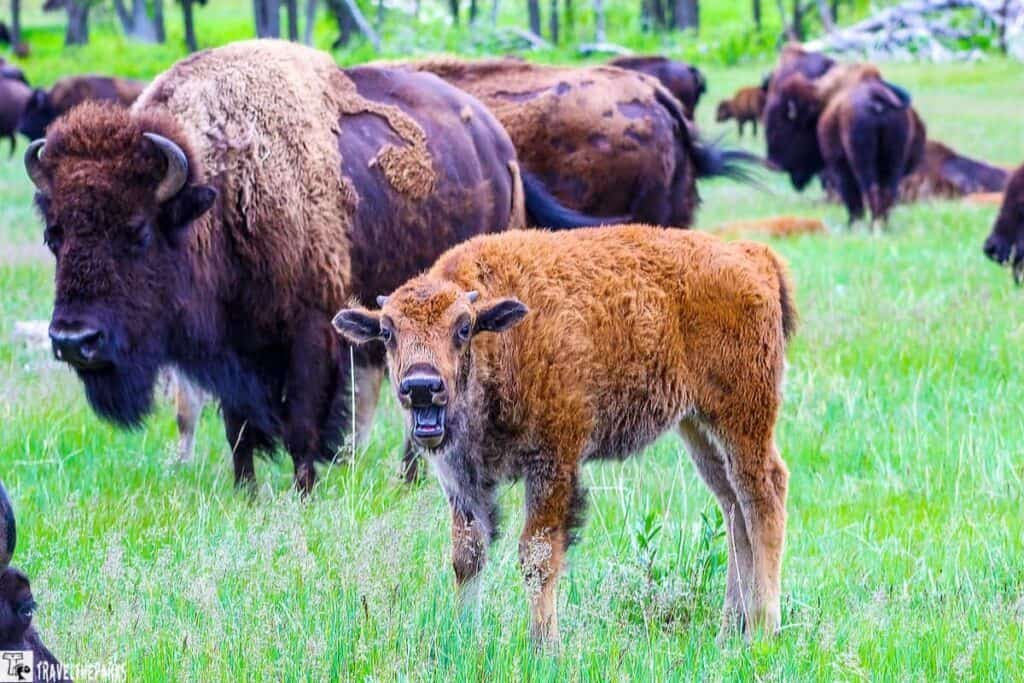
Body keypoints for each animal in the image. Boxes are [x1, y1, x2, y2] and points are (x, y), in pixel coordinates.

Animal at [334, 225, 796, 649]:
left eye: (462, 328)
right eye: (389, 331)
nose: (421, 386)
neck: (503, 340)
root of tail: (751, 257)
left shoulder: (552, 463)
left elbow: (536, 555)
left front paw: (544, 645)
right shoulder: (462, 480)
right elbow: (467, 556)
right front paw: (463, 636)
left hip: (742, 418)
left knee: (763, 496)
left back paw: (764, 628)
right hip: (698, 427)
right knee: (733, 509)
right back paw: (730, 631)